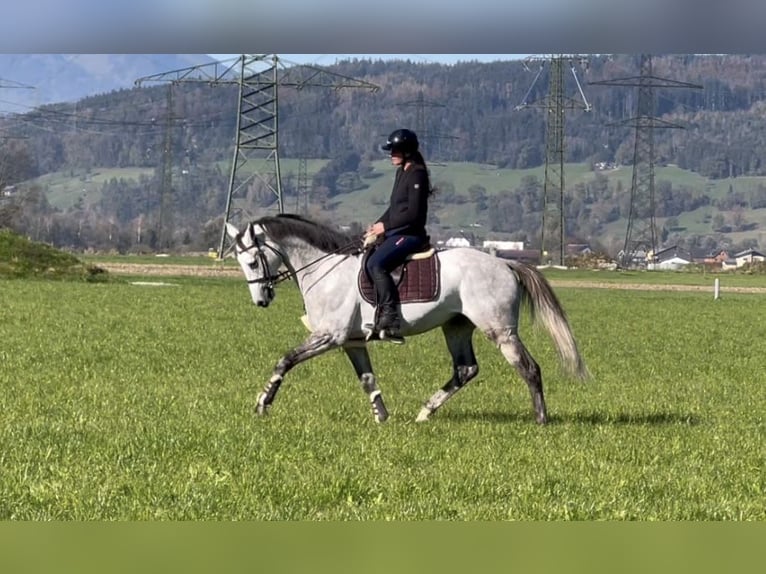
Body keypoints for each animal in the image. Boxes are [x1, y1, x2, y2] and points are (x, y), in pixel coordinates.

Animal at [225, 214, 592, 426]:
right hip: (456, 326)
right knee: (465, 369)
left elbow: (285, 360)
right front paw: (381, 417)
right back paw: (425, 412)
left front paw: (262, 403)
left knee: (528, 368)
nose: (261, 300)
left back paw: (541, 420)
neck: (324, 268)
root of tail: (504, 264)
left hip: (499, 331)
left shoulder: (329, 336)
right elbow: (367, 379)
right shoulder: (352, 341)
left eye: (253, 261)